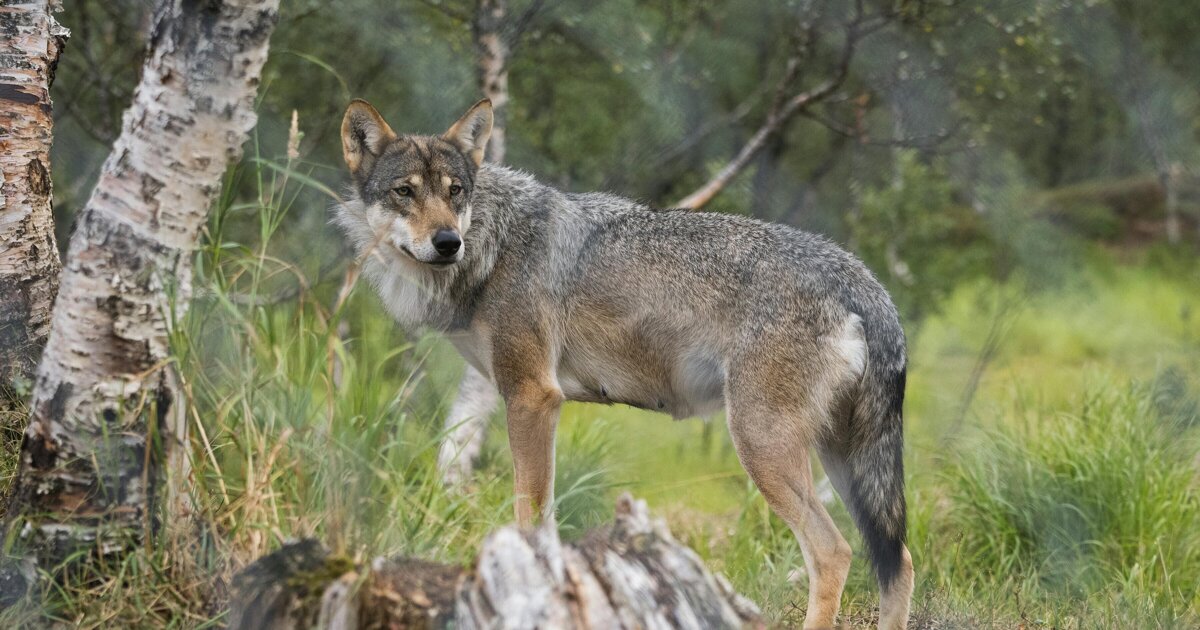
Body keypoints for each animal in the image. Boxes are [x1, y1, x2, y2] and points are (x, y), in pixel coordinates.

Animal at [334, 98, 914, 629]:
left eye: (455, 191)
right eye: (405, 192)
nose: (447, 241)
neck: (492, 246)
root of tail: (863, 278)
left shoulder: (532, 396)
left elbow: (531, 519)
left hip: (764, 446)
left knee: (834, 552)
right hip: (841, 460)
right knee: (899, 562)